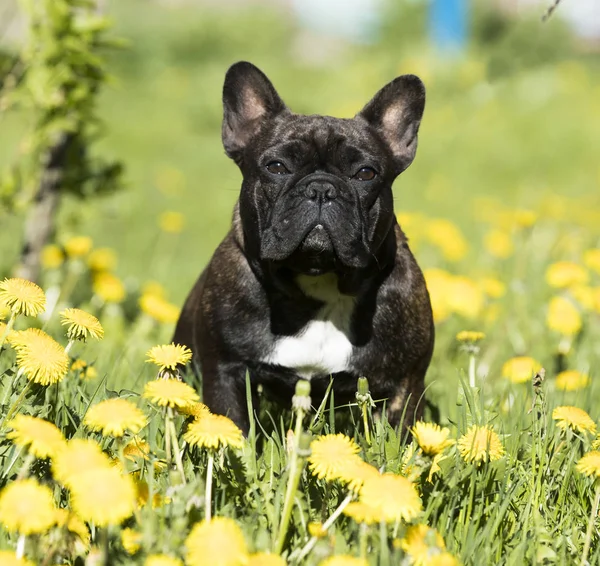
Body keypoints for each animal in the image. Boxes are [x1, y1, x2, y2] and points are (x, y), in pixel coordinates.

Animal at [171, 61, 434, 434]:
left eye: (366, 173)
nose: (322, 188)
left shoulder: (404, 384)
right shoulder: (226, 371)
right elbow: (232, 426)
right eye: (277, 167)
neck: (319, 278)